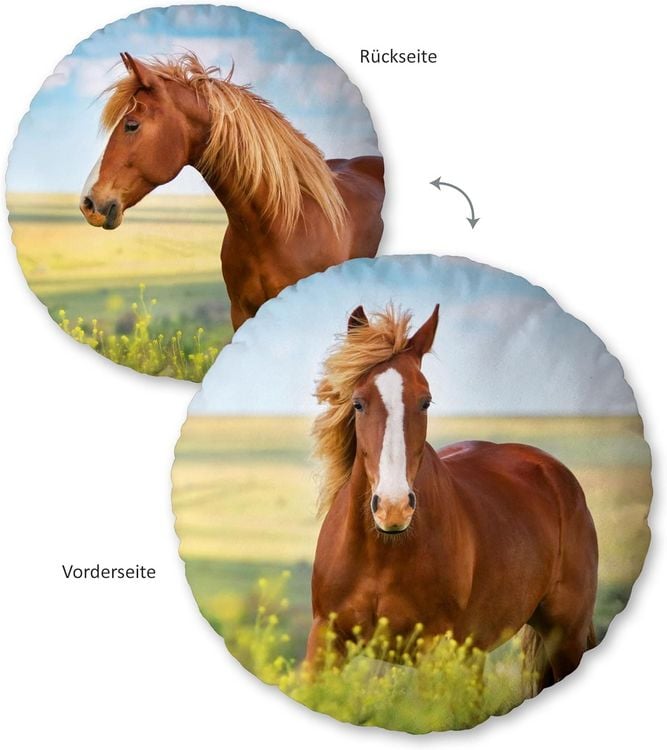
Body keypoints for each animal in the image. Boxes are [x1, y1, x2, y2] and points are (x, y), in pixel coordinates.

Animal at [308, 305, 598, 694]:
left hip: (565, 637)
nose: (393, 508)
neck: (382, 553)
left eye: (425, 401)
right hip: (476, 652)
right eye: (358, 403)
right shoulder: (324, 641)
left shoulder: (433, 651)